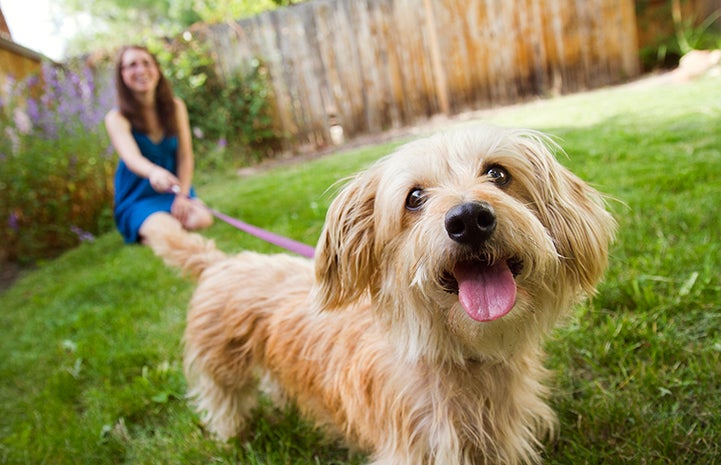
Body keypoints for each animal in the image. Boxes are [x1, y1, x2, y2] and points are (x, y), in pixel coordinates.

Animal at [146, 124, 612, 464]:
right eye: (414, 198)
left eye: (498, 174)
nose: (468, 219)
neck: (457, 355)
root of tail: (219, 262)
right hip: (221, 369)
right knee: (224, 403)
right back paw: (235, 437)